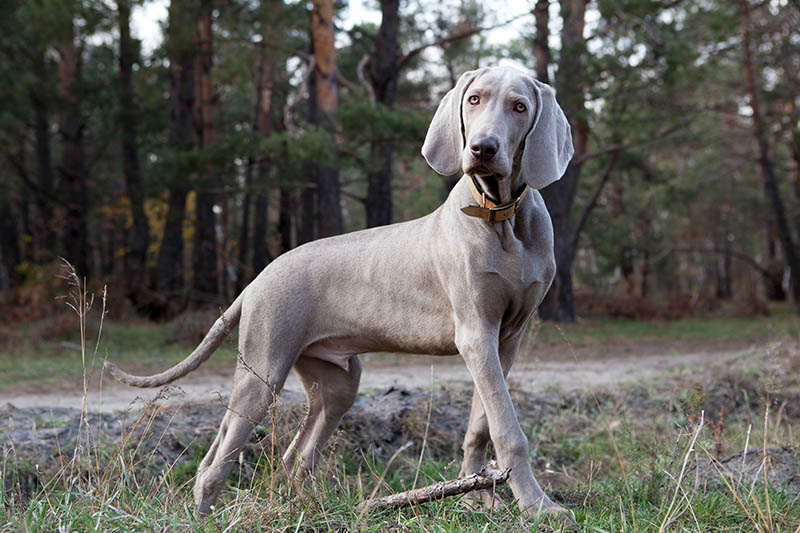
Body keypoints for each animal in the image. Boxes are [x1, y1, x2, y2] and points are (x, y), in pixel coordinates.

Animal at [106, 65, 572, 516]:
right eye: (474, 99)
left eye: (519, 106)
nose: (482, 148)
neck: (501, 216)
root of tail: (257, 279)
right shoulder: (476, 333)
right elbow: (508, 429)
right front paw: (537, 506)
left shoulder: (506, 338)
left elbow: (482, 423)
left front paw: (477, 498)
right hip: (263, 369)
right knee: (220, 456)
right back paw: (205, 512)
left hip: (337, 382)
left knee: (294, 454)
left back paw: (308, 507)